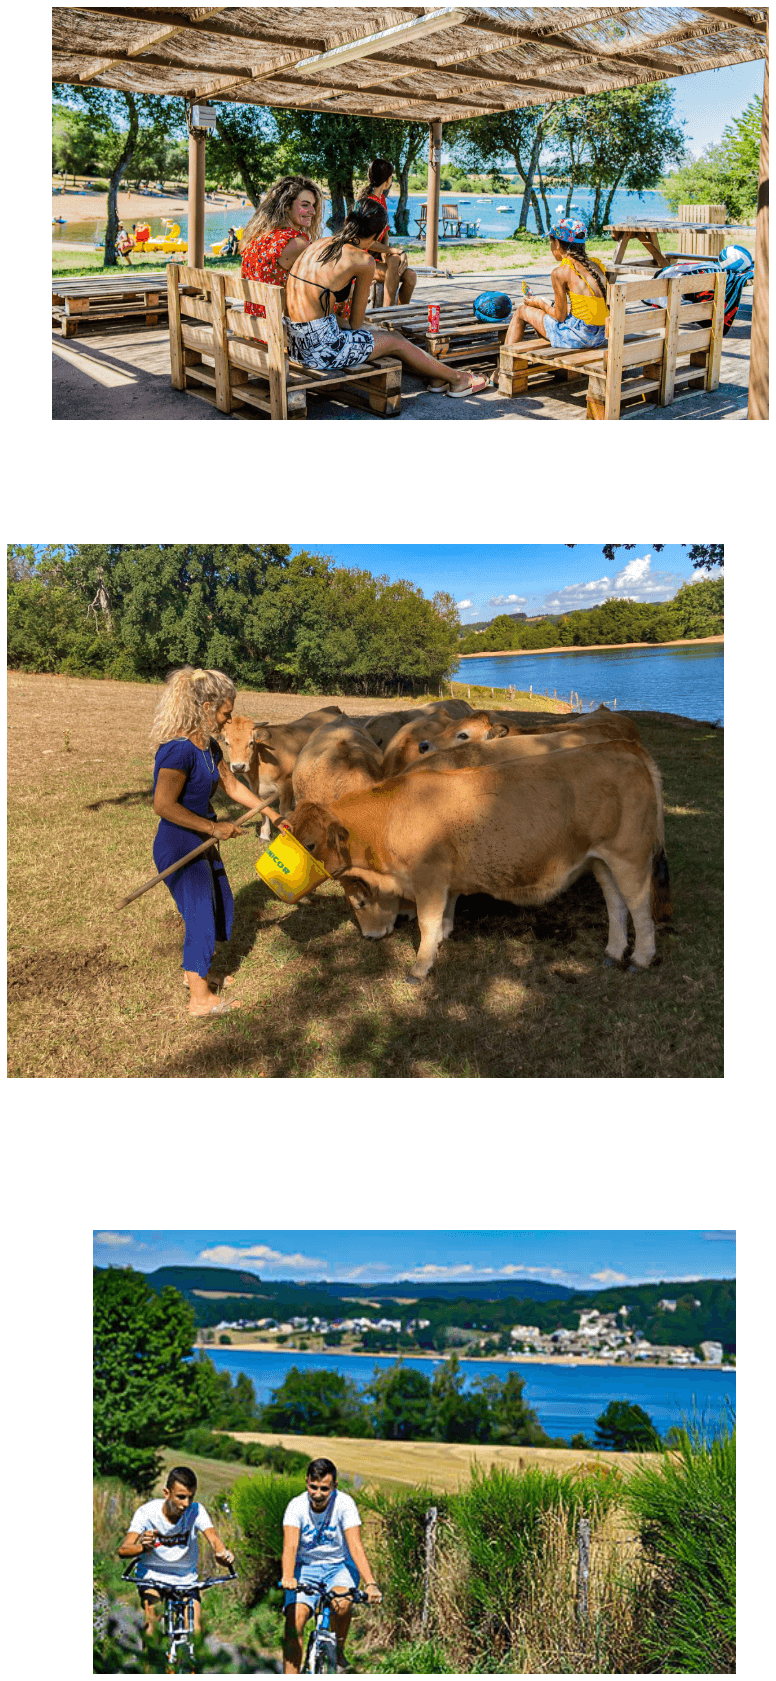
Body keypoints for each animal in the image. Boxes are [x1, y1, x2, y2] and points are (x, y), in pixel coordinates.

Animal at [287, 746, 671, 981]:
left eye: (309, 844)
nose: (369, 937)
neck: (392, 814)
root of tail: (627, 751)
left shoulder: (429, 876)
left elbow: (426, 921)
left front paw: (419, 968)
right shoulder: (446, 879)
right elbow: (444, 914)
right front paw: (441, 940)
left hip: (630, 856)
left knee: (639, 905)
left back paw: (641, 958)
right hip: (602, 861)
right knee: (616, 903)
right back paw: (614, 951)